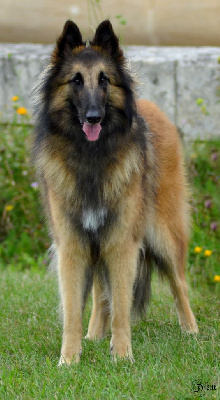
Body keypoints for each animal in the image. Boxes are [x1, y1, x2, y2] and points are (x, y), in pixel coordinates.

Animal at [32, 20, 198, 364]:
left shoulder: (122, 244)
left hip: (163, 234)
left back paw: (191, 331)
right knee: (100, 294)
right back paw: (94, 334)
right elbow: (73, 311)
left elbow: (122, 307)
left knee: (180, 284)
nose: (94, 116)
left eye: (104, 79)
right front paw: (69, 359)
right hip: (98, 245)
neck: (91, 156)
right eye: (76, 80)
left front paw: (122, 357)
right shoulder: (73, 246)